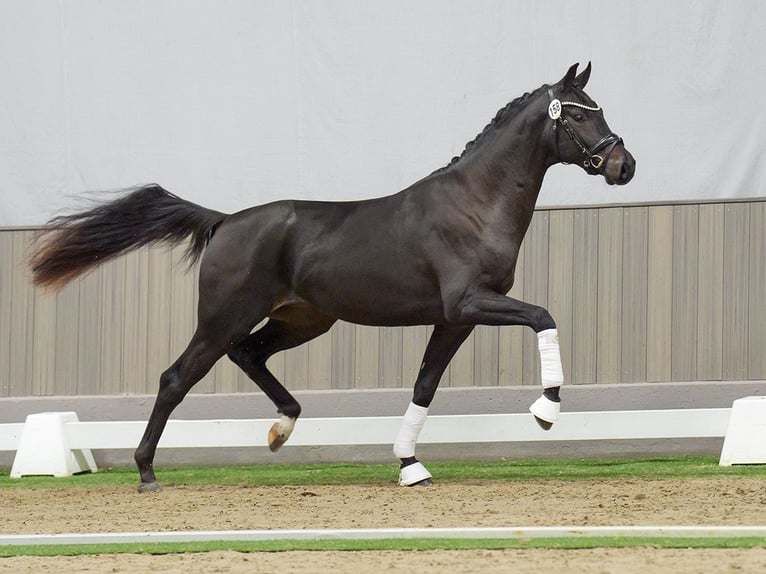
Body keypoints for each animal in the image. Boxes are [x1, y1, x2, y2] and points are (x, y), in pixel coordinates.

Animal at [28, 64, 636, 496]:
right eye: (578, 116)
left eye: (599, 110)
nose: (623, 165)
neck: (472, 205)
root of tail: (225, 221)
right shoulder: (470, 304)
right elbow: (543, 316)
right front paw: (545, 411)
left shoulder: (453, 319)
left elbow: (424, 385)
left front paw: (410, 465)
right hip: (224, 318)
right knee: (175, 378)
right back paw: (147, 473)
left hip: (303, 321)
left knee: (249, 356)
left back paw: (282, 429)